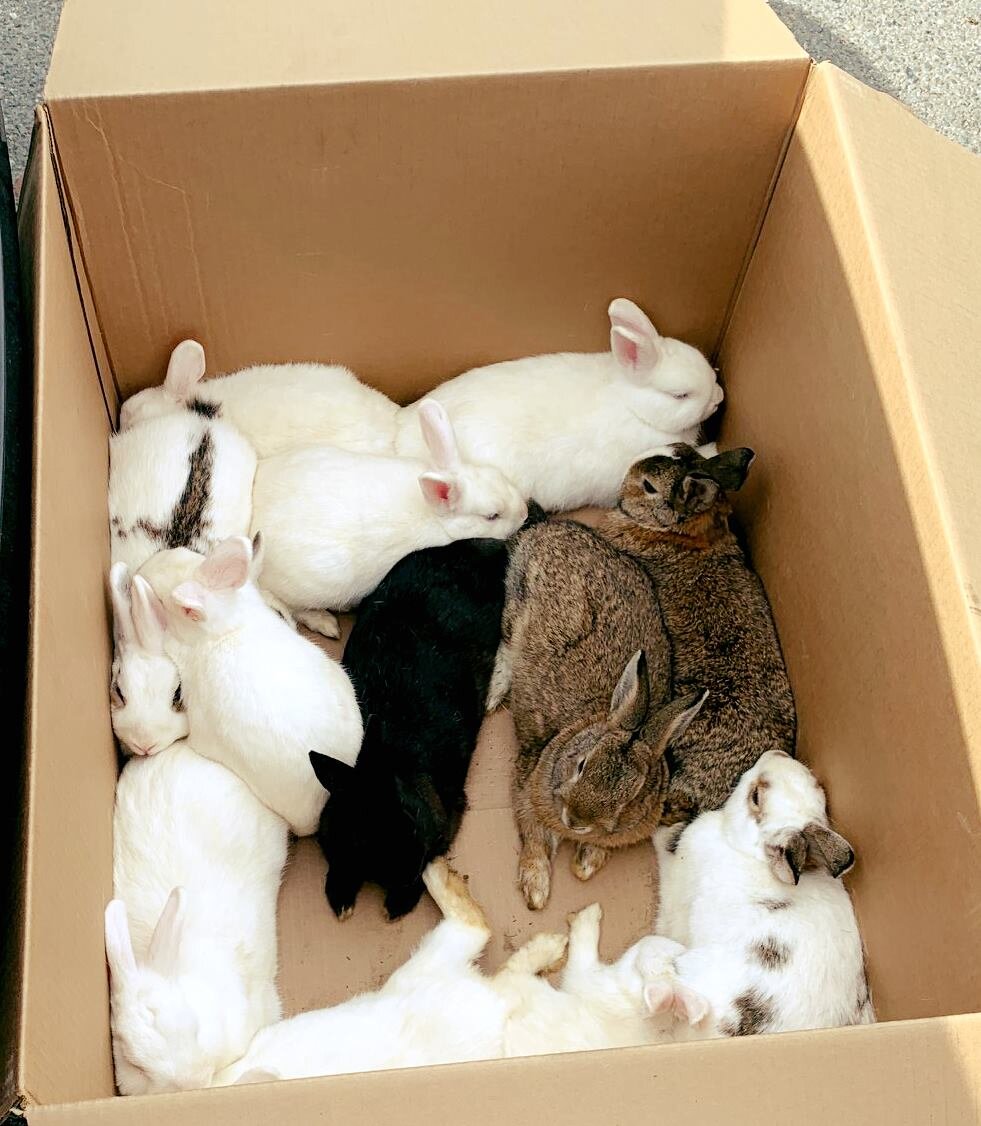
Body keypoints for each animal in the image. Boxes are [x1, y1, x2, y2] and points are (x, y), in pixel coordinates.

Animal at [502, 518, 705, 909]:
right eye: (581, 765)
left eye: (631, 798)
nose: (575, 819)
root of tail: (551, 528)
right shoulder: (528, 780)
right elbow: (534, 836)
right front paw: (536, 889)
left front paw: (585, 865)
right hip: (515, 605)